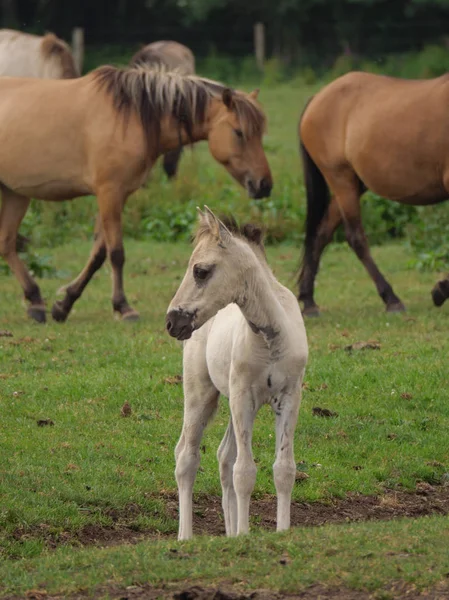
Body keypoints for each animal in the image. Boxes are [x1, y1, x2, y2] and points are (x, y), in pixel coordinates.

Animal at [0, 65, 272, 324]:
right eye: (239, 132)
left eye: (260, 133)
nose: (264, 185)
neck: (131, 117)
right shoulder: (109, 193)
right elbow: (116, 253)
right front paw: (124, 307)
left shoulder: (118, 196)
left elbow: (99, 254)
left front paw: (64, 305)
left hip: (14, 193)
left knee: (6, 243)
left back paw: (35, 301)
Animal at [166, 207, 306, 540]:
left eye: (201, 271)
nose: (172, 321)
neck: (271, 337)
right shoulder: (245, 397)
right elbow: (244, 471)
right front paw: (244, 534)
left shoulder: (289, 397)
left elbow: (283, 468)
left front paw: (280, 531)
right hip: (201, 395)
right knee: (186, 457)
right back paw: (185, 536)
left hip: (230, 402)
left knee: (223, 456)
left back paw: (228, 532)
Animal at [298, 71, 449, 316]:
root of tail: (317, 99)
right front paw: (441, 289)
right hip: (341, 180)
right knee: (356, 239)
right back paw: (391, 299)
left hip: (352, 185)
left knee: (320, 234)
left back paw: (308, 300)